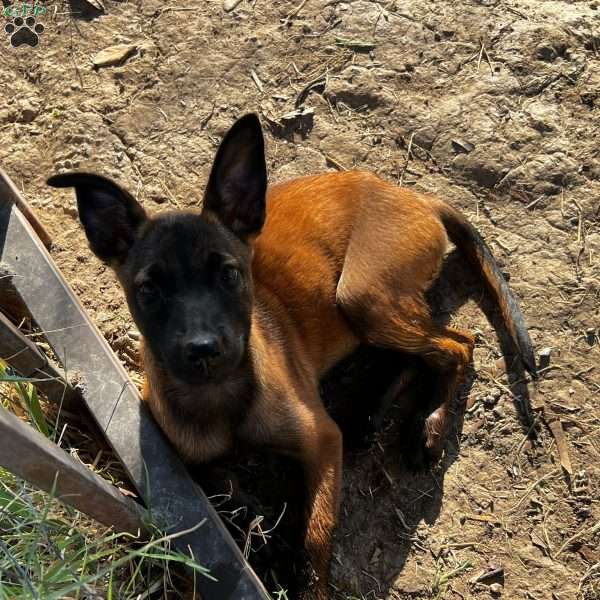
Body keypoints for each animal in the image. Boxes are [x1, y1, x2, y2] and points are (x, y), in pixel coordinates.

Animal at [45, 113, 536, 600]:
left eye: (229, 274)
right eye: (148, 290)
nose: (203, 350)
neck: (223, 398)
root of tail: (415, 196)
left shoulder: (322, 441)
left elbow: (316, 535)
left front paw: (302, 573)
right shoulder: (190, 460)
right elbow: (230, 498)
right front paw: (265, 539)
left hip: (362, 296)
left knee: (458, 345)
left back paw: (427, 424)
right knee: (417, 353)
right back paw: (370, 415)